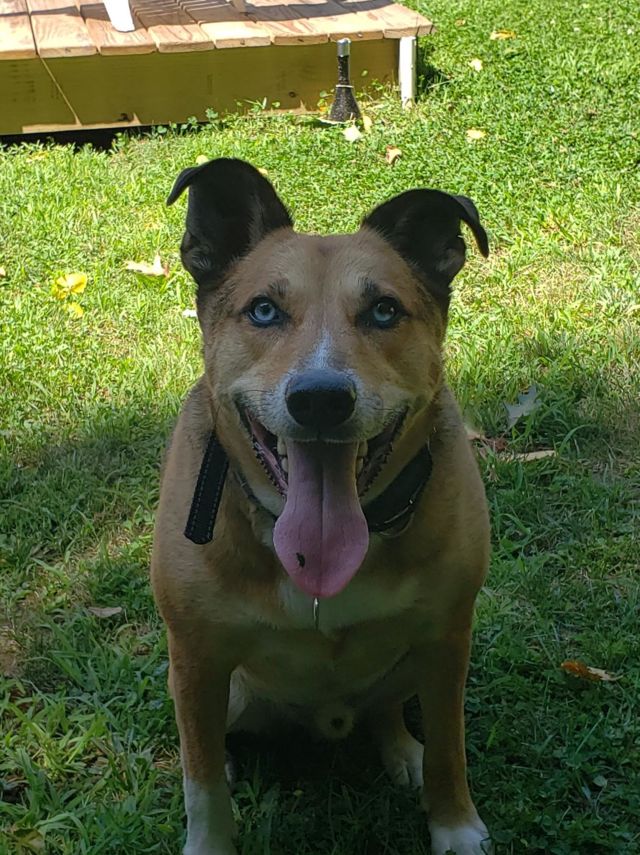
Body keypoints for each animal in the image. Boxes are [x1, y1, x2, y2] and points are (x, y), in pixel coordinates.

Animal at [152, 158, 492, 855]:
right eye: (263, 310)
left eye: (385, 311)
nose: (320, 399)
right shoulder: (196, 657)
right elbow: (203, 783)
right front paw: (210, 837)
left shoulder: (448, 639)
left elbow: (451, 746)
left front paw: (453, 824)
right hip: (217, 689)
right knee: (210, 743)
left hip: (408, 663)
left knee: (389, 709)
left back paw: (403, 752)